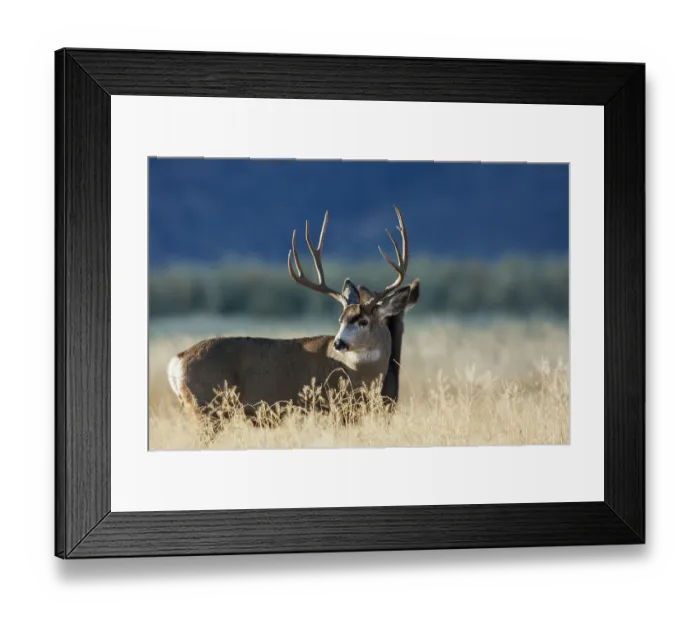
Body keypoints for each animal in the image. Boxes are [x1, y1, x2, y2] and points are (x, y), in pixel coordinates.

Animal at [167, 206, 419, 425]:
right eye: (341, 319)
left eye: (363, 321)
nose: (339, 343)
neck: (357, 372)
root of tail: (175, 362)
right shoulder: (329, 409)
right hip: (208, 408)